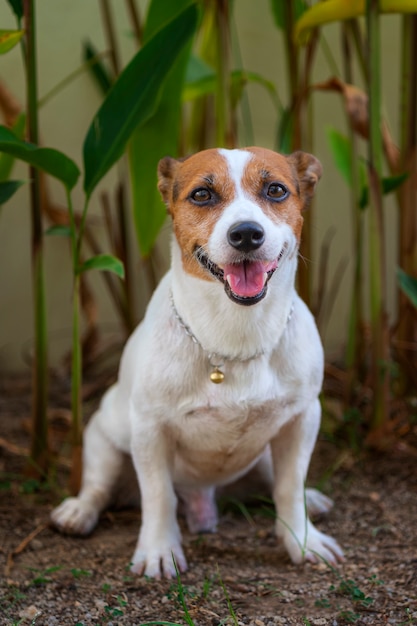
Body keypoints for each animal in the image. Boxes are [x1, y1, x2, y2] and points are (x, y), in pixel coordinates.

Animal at [52, 145, 342, 576]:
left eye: (275, 190)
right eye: (202, 195)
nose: (246, 234)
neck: (235, 333)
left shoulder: (302, 419)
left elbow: (289, 488)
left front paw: (302, 541)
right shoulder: (150, 430)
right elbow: (158, 495)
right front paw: (159, 550)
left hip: (264, 454)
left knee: (274, 482)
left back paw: (313, 498)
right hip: (104, 440)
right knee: (97, 488)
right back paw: (78, 511)